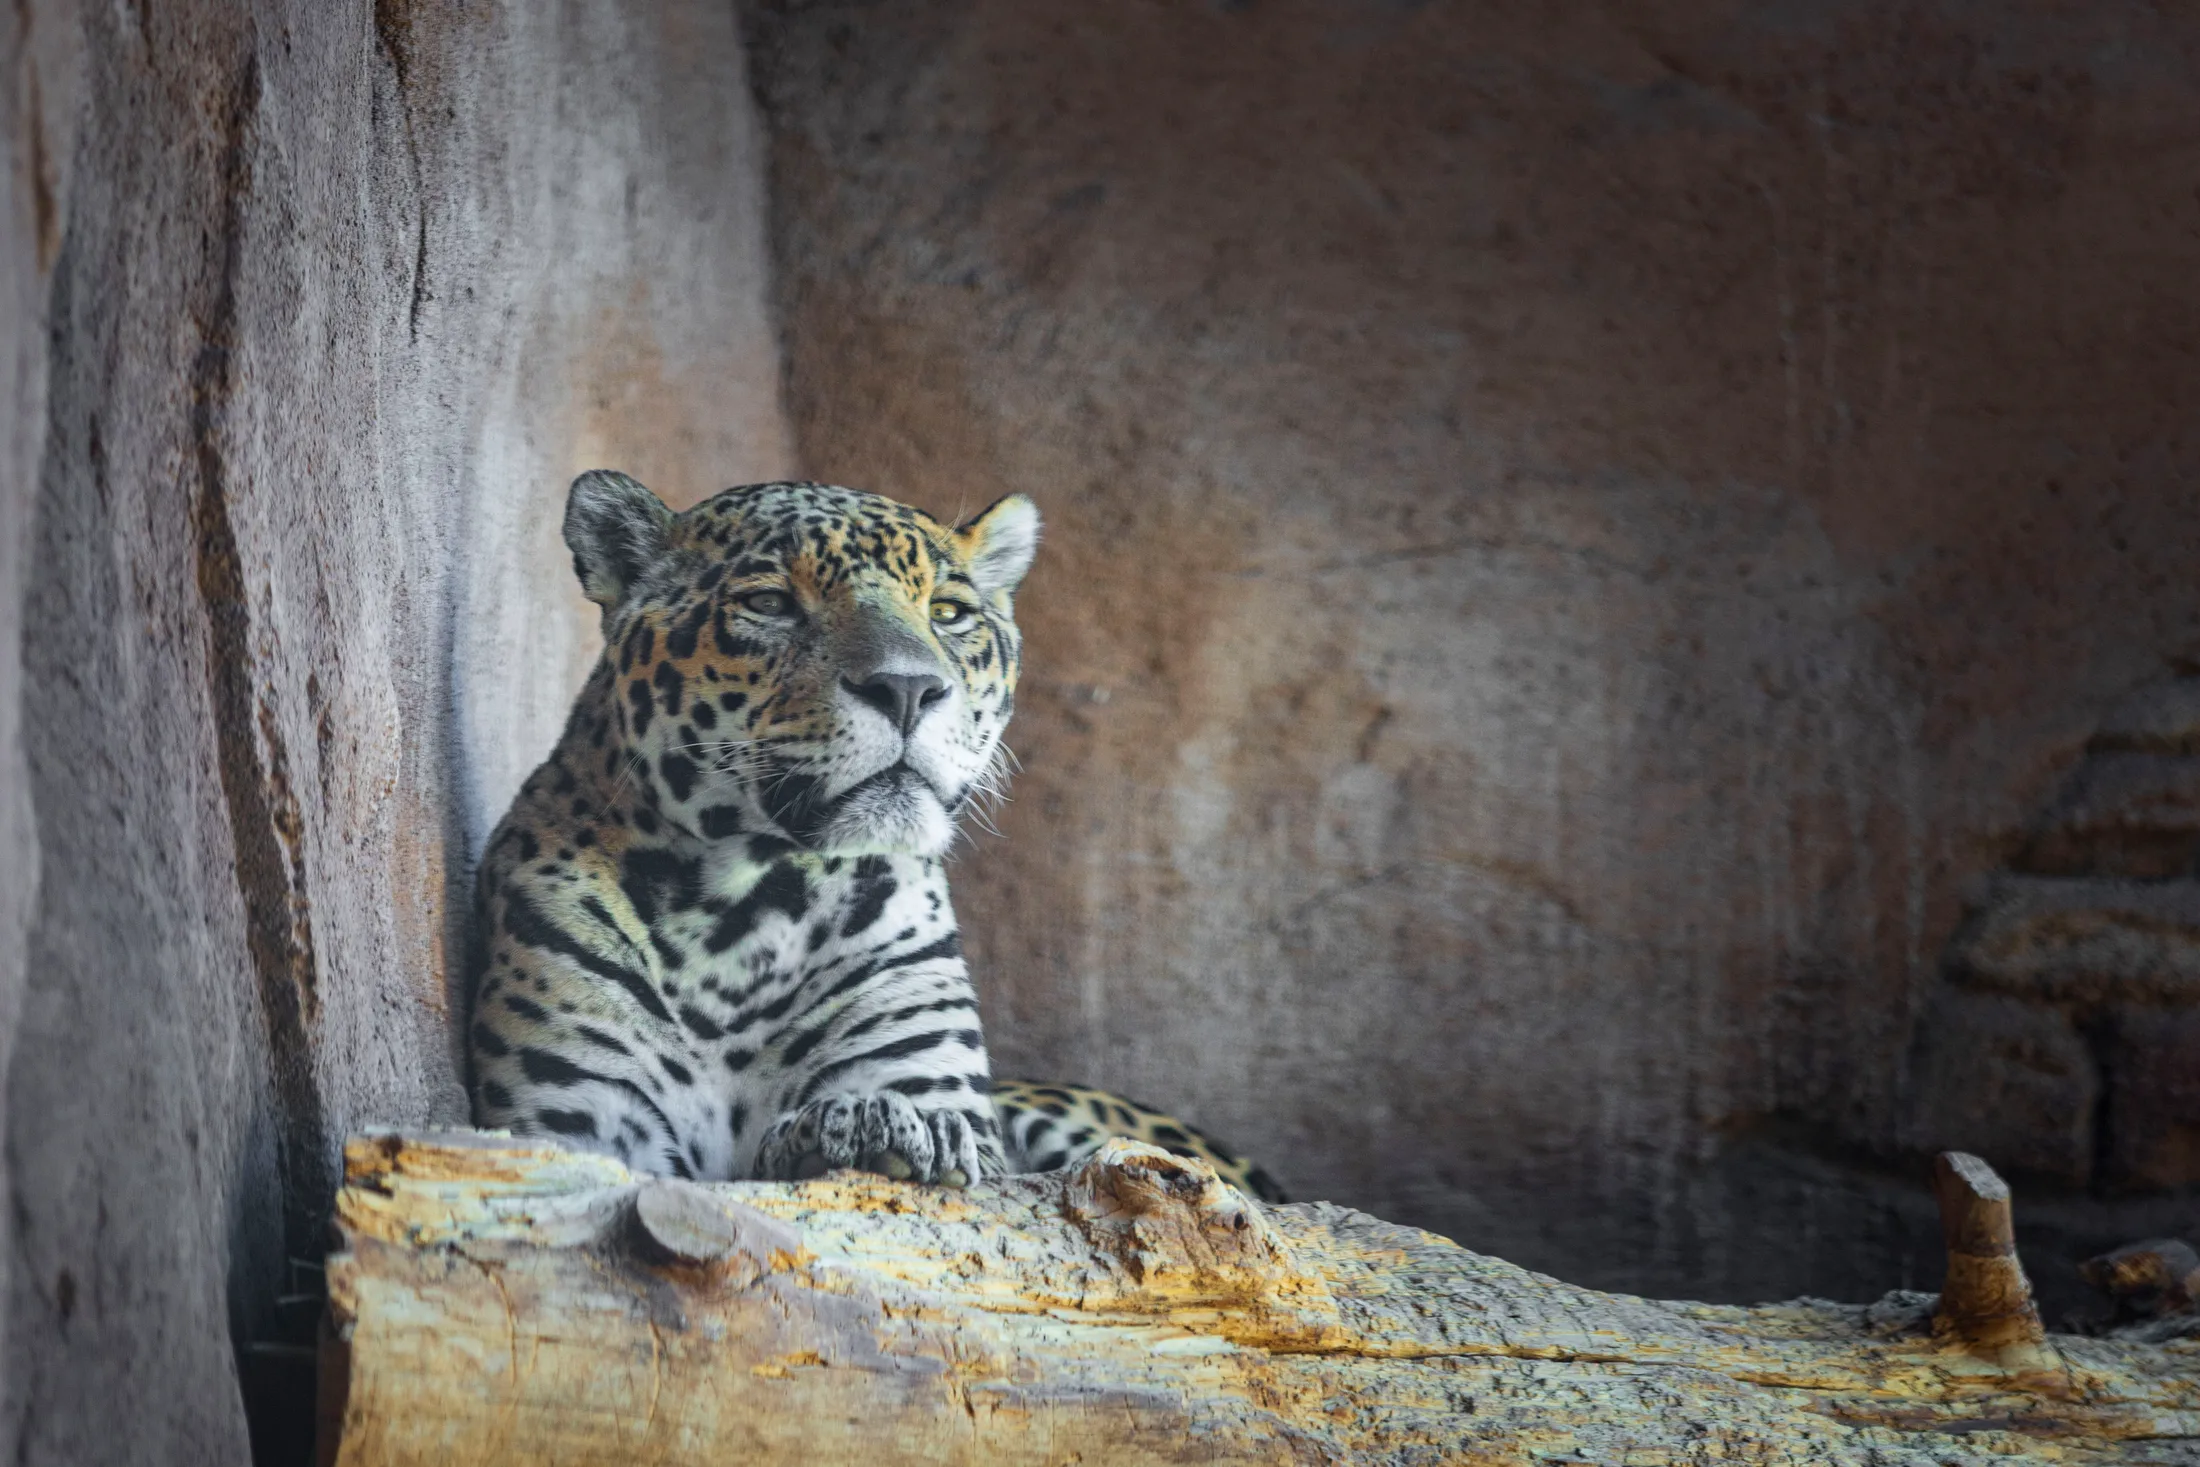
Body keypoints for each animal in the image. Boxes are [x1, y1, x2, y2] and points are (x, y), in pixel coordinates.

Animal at [464, 471, 1286, 1201]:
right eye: (769, 603)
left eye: (949, 612)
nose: (909, 689)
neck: (741, 912)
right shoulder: (577, 1127)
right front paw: (854, 1129)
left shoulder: (939, 1088)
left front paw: (867, 1125)